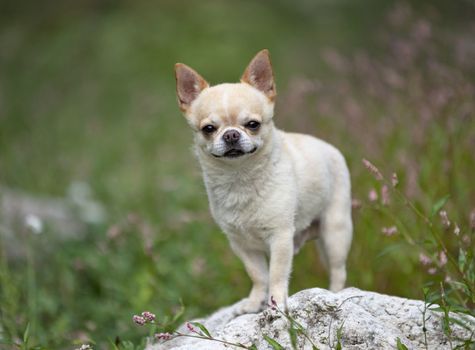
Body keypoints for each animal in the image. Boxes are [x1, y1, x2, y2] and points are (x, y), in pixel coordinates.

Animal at [175, 50, 354, 314]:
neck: (240, 178)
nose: (231, 134)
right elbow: (259, 275)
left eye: (253, 125)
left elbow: (277, 274)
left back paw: (336, 293)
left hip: (335, 233)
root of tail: (331, 149)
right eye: (208, 129)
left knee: (338, 269)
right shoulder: (242, 245)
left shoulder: (280, 238)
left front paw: (276, 302)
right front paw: (254, 302)